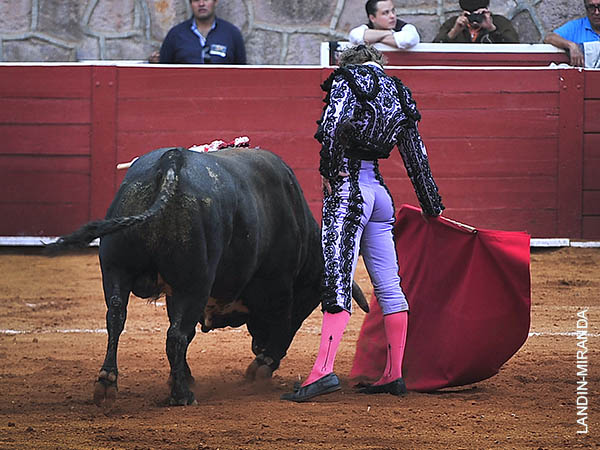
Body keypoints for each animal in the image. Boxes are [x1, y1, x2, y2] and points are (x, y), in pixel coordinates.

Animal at [47, 147, 367, 408]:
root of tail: (171, 163)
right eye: (308, 303)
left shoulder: (174, 290)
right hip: (194, 283)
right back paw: (181, 395)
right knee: (174, 335)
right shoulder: (277, 285)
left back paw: (107, 385)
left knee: (117, 318)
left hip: (117, 270)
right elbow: (277, 322)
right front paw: (261, 367)